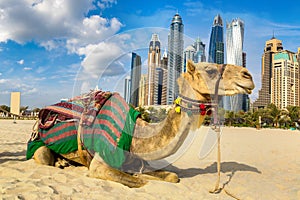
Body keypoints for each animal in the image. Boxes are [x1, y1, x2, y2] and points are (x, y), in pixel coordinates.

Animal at [28, 60, 254, 188]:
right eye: (210, 70)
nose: (248, 75)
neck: (136, 134)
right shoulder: (100, 161)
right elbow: (141, 181)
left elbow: (171, 176)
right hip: (38, 146)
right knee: (44, 157)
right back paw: (60, 163)